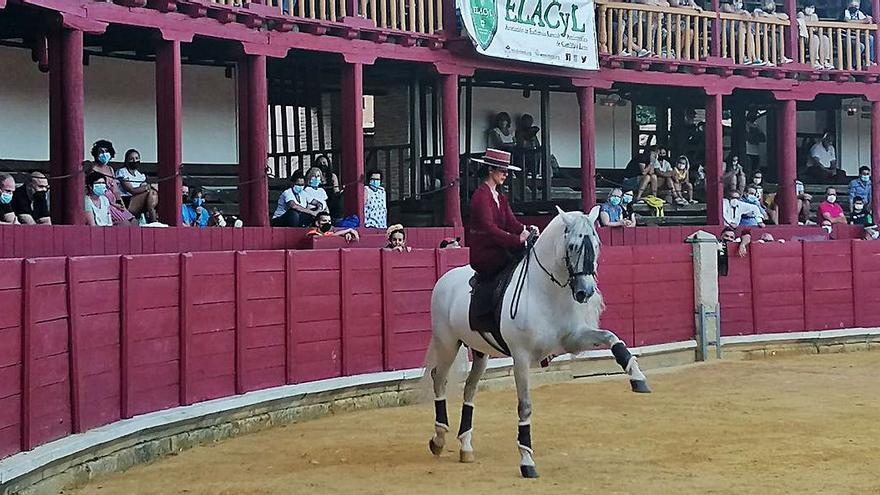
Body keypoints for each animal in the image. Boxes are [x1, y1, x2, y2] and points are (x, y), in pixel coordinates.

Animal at [422, 204, 648, 476]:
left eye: (596, 243)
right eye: (573, 245)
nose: (585, 292)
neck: (547, 292)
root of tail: (445, 280)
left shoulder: (572, 339)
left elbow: (612, 338)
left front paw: (638, 378)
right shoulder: (521, 357)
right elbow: (525, 405)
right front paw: (527, 460)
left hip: (480, 352)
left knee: (470, 388)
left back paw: (465, 445)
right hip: (447, 343)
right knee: (439, 380)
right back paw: (438, 438)